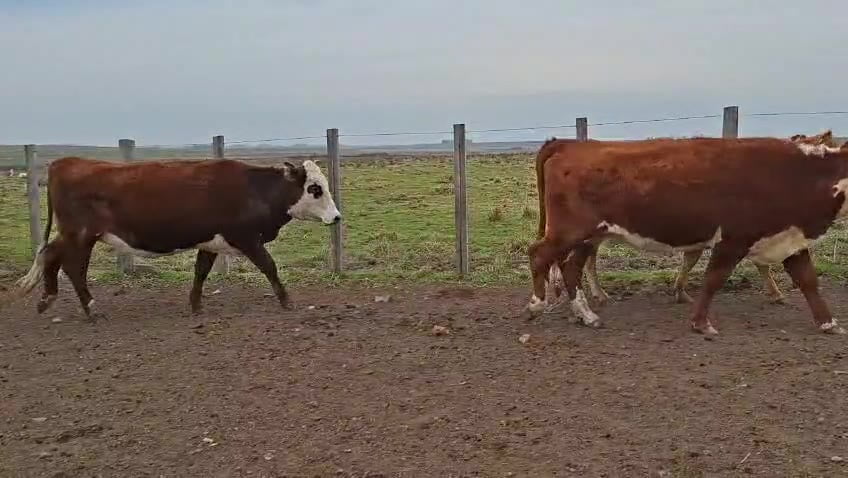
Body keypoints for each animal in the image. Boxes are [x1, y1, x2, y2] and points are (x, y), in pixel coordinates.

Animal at [15, 156, 341, 320]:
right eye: (314, 188)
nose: (336, 217)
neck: (253, 189)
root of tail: (65, 162)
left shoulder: (211, 241)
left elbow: (201, 272)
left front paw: (195, 305)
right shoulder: (246, 238)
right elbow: (269, 266)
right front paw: (287, 301)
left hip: (73, 234)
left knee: (49, 254)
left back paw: (46, 298)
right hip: (81, 236)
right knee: (73, 268)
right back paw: (91, 309)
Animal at [528, 136, 848, 335]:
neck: (793, 174)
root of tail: (569, 145)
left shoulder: (791, 240)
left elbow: (808, 281)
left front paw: (828, 323)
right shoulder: (732, 240)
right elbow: (713, 280)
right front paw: (700, 323)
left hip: (585, 237)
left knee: (570, 268)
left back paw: (586, 314)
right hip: (570, 231)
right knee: (539, 254)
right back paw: (537, 304)